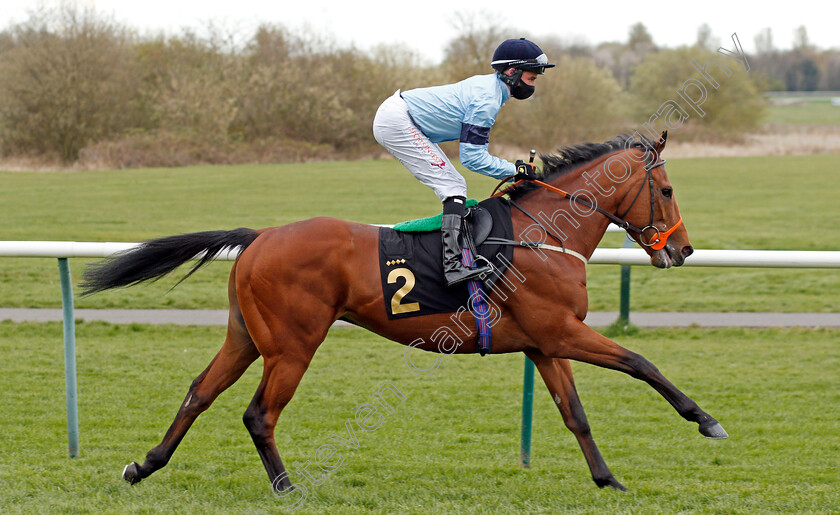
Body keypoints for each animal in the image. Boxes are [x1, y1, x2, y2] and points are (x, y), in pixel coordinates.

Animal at [82, 132, 724, 496]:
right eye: (668, 190)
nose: (683, 249)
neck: (543, 234)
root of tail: (260, 236)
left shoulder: (544, 343)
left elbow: (576, 415)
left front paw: (607, 478)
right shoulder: (563, 332)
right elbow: (640, 361)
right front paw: (705, 419)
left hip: (245, 337)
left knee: (199, 392)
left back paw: (145, 465)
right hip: (292, 345)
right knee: (259, 414)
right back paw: (286, 487)